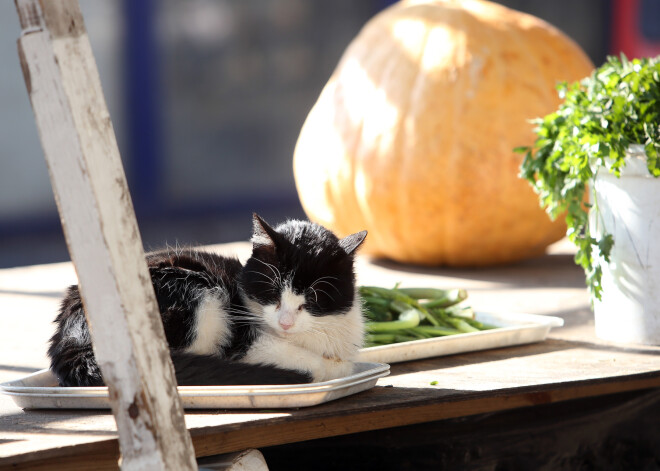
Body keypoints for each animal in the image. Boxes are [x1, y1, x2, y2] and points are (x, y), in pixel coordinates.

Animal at [47, 214, 366, 388]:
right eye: (273, 290)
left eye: (312, 297)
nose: (286, 322)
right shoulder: (247, 343)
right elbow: (322, 364)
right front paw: (326, 366)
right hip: (198, 298)